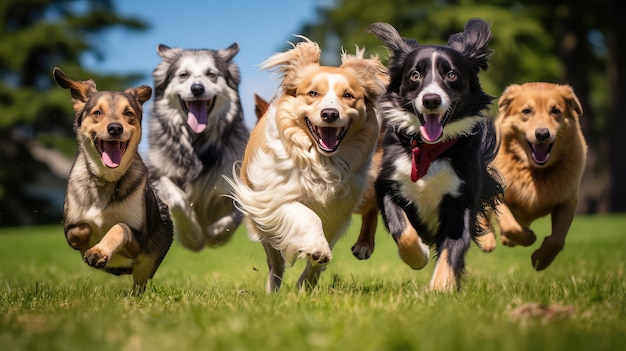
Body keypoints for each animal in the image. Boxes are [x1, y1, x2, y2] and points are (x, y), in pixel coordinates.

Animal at [51, 67, 172, 292]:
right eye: (97, 112)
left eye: (128, 113)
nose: (115, 128)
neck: (106, 179)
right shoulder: (70, 228)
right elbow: (82, 228)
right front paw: (92, 242)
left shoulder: (138, 240)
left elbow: (119, 227)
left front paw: (99, 252)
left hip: (149, 261)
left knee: (139, 283)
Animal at [147, 44, 250, 252]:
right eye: (183, 74)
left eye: (211, 74)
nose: (197, 89)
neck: (197, 141)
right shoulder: (157, 173)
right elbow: (177, 200)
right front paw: (192, 237)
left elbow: (237, 210)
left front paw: (217, 235)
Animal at [227, 37, 388, 292]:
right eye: (313, 93)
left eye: (348, 95)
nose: (330, 113)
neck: (321, 160)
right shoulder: (272, 195)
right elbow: (306, 216)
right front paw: (317, 250)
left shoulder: (339, 205)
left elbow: (323, 249)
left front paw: (308, 278)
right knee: (275, 259)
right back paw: (273, 288)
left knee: (371, 203)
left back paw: (362, 246)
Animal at [366, 20, 502, 292]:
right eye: (414, 75)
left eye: (451, 74)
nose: (431, 100)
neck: (430, 150)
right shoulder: (386, 185)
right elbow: (402, 231)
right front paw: (418, 256)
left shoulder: (461, 198)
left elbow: (453, 249)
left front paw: (441, 289)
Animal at [476, 83, 588, 272]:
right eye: (526, 111)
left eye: (555, 111)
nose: (542, 133)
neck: (535, 171)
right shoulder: (498, 193)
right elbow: (510, 226)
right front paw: (529, 237)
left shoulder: (568, 200)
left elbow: (557, 239)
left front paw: (540, 260)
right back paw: (487, 240)